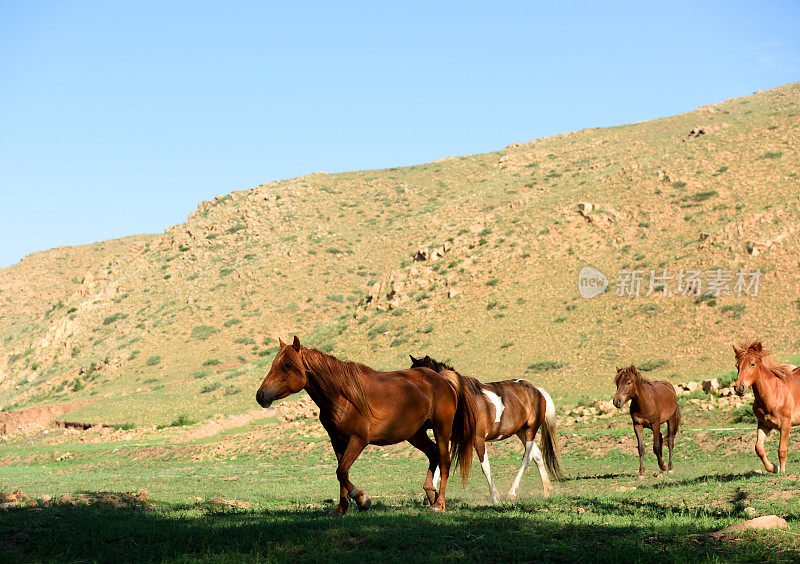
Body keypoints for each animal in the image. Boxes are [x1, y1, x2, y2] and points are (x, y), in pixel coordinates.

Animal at [256, 338, 476, 512]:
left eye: (287, 366)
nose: (261, 395)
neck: (343, 396)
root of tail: (442, 380)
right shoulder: (337, 441)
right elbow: (341, 472)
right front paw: (342, 508)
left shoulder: (358, 440)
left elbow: (341, 471)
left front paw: (362, 499)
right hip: (416, 434)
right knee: (432, 454)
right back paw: (430, 493)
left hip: (441, 430)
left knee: (444, 462)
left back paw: (439, 504)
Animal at [410, 354, 564, 500]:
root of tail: (537, 390)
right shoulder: (448, 438)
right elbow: (439, 464)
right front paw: (429, 496)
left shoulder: (478, 439)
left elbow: (485, 467)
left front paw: (494, 496)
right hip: (521, 431)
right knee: (537, 455)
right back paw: (546, 490)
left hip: (530, 430)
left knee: (527, 458)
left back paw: (512, 492)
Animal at [732, 342, 800, 474]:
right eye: (737, 366)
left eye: (752, 364)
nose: (739, 387)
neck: (774, 394)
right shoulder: (764, 424)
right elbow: (758, 448)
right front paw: (773, 467)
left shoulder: (785, 425)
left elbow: (782, 450)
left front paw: (782, 471)